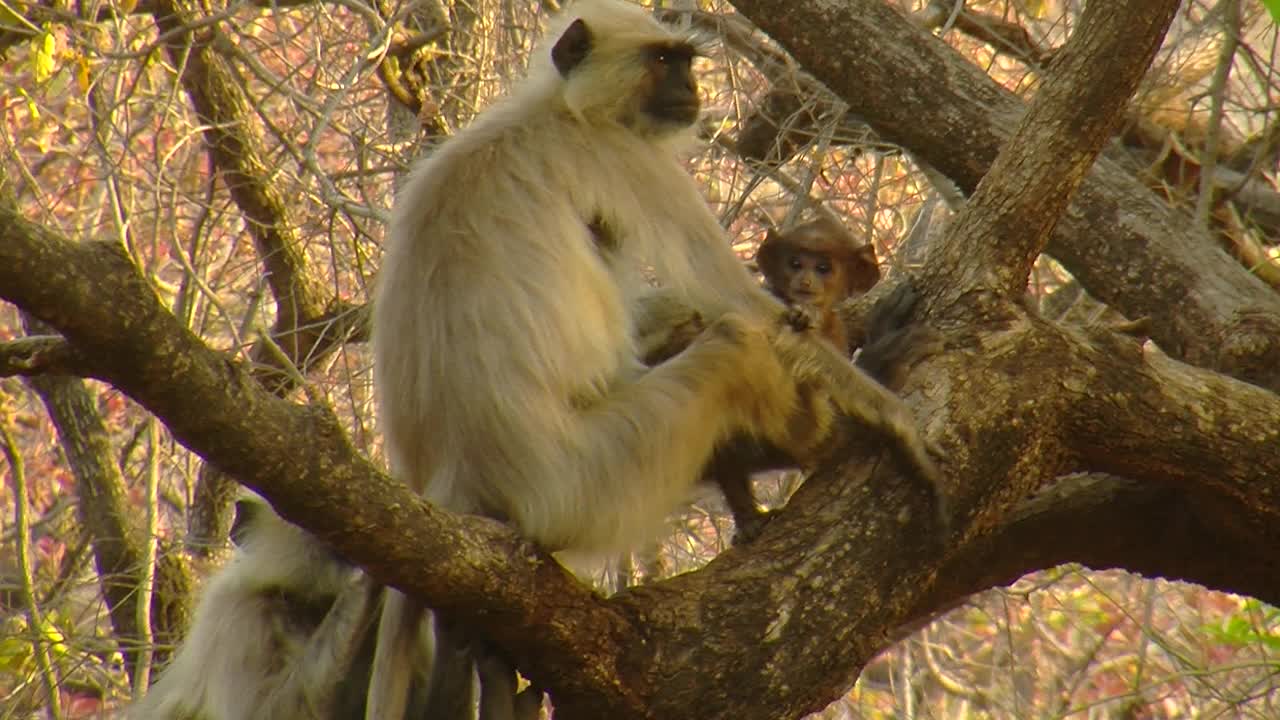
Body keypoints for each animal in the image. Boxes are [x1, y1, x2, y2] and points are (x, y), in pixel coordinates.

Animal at [366, 2, 947, 712]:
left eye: (686, 61)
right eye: (664, 61)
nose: (692, 89)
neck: (559, 110)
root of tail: (451, 477)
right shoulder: (625, 157)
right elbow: (746, 307)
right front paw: (892, 410)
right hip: (587, 480)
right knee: (734, 343)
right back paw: (827, 434)